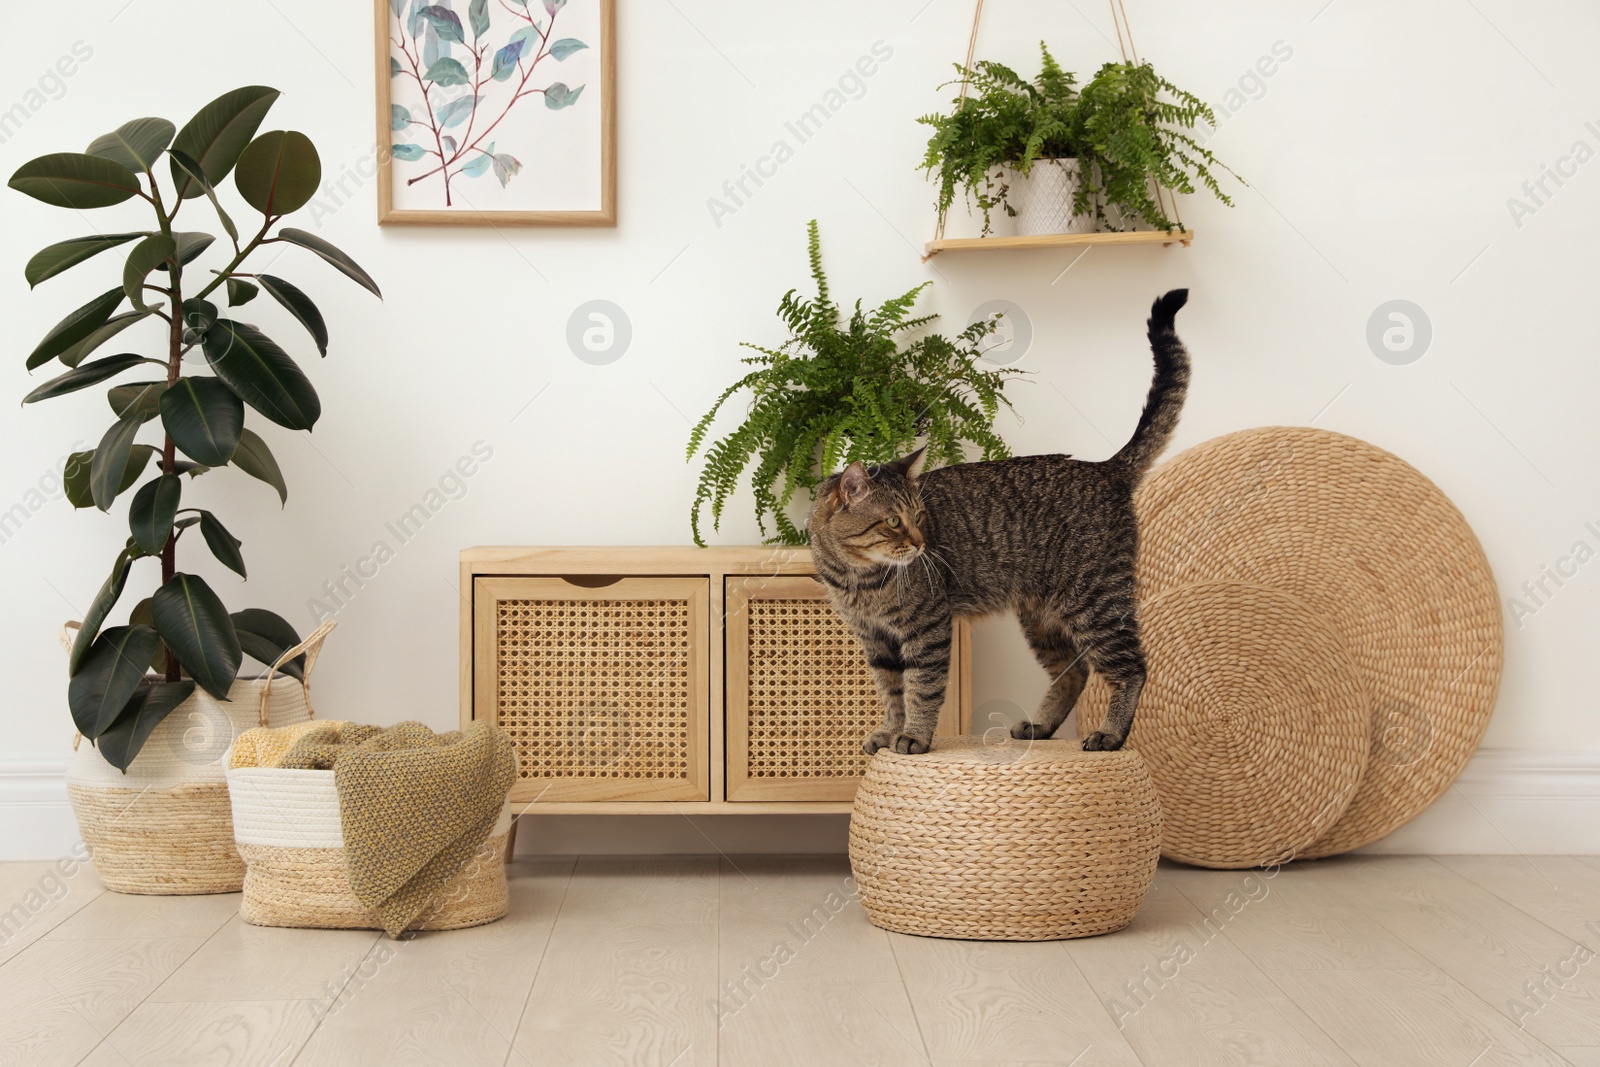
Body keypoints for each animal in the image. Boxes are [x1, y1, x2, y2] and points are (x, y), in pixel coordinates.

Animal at [806, 292, 1196, 755]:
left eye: (918, 517)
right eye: (894, 521)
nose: (921, 544)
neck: (859, 578)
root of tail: (1104, 468)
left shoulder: (927, 630)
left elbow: (921, 688)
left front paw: (914, 735)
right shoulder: (875, 639)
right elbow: (891, 691)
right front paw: (889, 730)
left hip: (1096, 603)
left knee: (1132, 667)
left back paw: (1111, 733)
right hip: (1044, 617)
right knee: (1075, 671)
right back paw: (1041, 725)